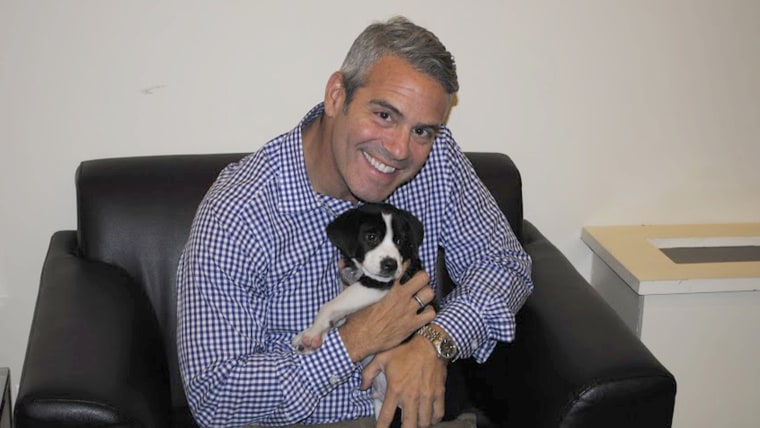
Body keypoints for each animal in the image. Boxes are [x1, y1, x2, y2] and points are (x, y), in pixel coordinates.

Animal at [292, 203, 424, 354]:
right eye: (371, 237)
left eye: (399, 241)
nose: (391, 265)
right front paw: (315, 334)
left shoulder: (377, 284)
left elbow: (330, 305)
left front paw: (313, 331)